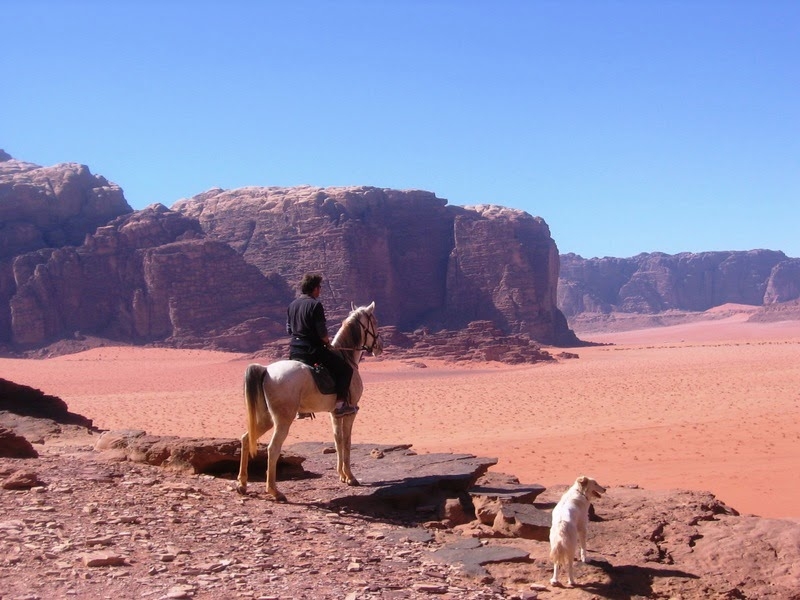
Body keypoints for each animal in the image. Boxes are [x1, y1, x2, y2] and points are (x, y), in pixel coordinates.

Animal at [236, 300, 382, 502]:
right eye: (374, 322)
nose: (379, 347)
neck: (346, 358)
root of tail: (266, 370)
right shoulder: (351, 411)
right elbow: (347, 441)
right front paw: (351, 477)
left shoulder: (335, 413)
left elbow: (337, 440)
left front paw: (342, 475)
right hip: (282, 420)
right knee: (272, 449)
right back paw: (274, 491)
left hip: (266, 418)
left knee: (245, 438)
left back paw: (242, 483)